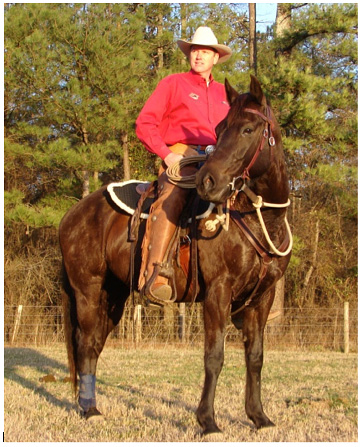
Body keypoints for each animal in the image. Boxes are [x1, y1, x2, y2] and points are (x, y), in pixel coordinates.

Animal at [59, 76, 290, 434]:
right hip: (87, 291)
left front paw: (259, 417)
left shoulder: (262, 296)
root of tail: (73, 214)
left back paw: (90, 404)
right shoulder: (218, 292)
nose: (209, 182)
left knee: (95, 346)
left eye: (248, 129)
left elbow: (255, 357)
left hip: (113, 296)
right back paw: (89, 409)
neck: (255, 216)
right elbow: (214, 356)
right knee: (84, 345)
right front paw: (208, 421)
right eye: (221, 128)